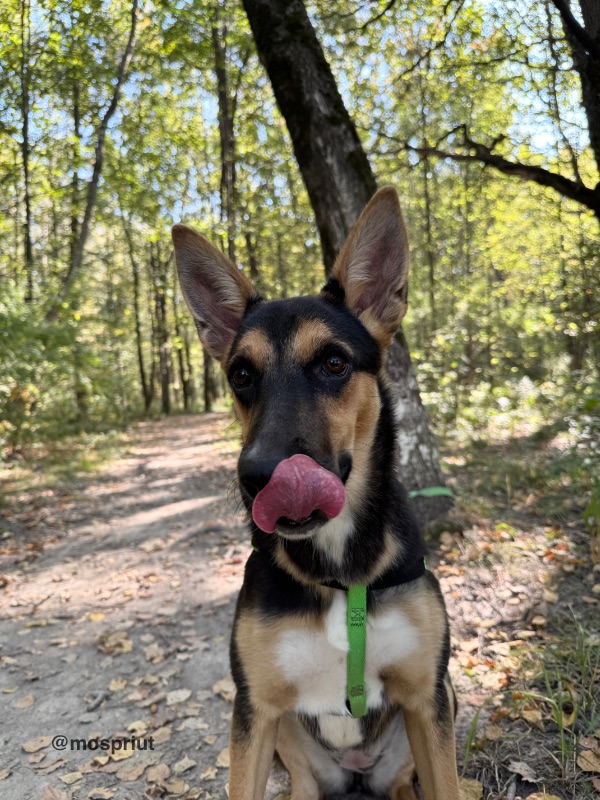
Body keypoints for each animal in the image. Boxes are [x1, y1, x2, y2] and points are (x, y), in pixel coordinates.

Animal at [171, 188, 462, 800]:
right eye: (240, 374)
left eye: (334, 362)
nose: (257, 476)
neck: (339, 567)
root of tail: (356, 774)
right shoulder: (254, 710)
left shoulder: (427, 699)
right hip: (290, 743)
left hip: (436, 711)